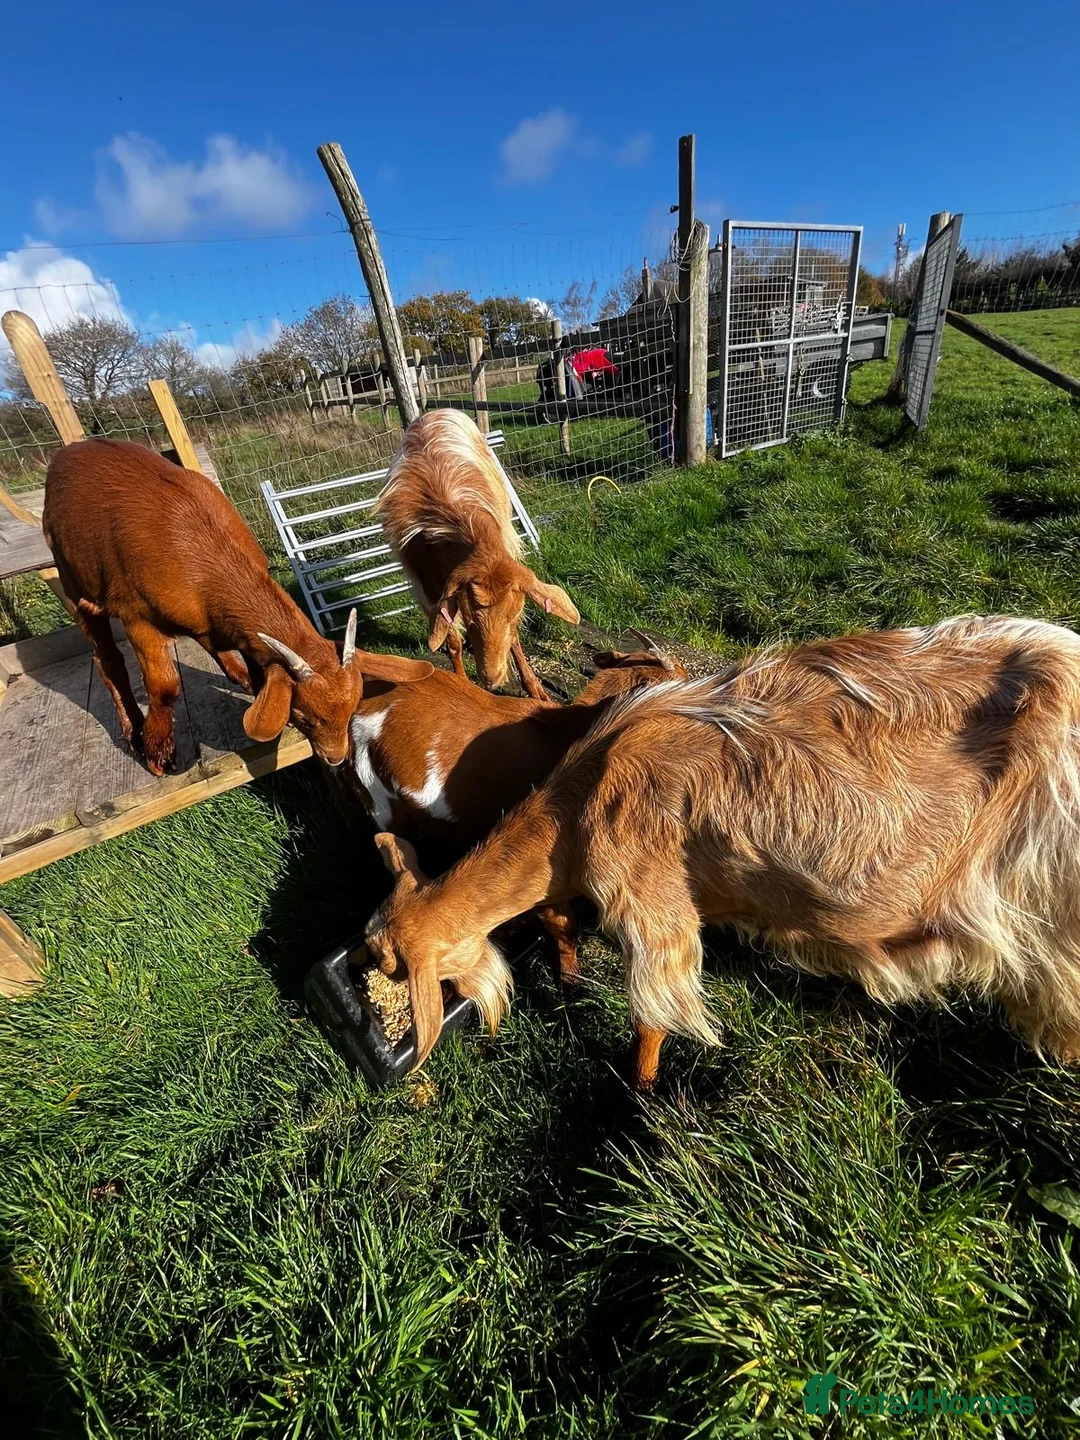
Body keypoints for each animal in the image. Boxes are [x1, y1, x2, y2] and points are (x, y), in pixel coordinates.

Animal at [43, 438, 434, 774]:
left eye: (353, 708)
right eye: (304, 716)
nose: (336, 758)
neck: (201, 558)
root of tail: (70, 450)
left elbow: (255, 662)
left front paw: (254, 688)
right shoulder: (136, 615)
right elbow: (164, 685)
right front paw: (158, 753)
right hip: (69, 574)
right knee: (105, 656)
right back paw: (133, 731)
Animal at [375, 409, 580, 700]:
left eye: (514, 616)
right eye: (471, 619)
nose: (492, 678)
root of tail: (435, 411)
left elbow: (513, 637)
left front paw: (534, 686)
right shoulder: (429, 586)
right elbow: (451, 639)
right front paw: (461, 685)